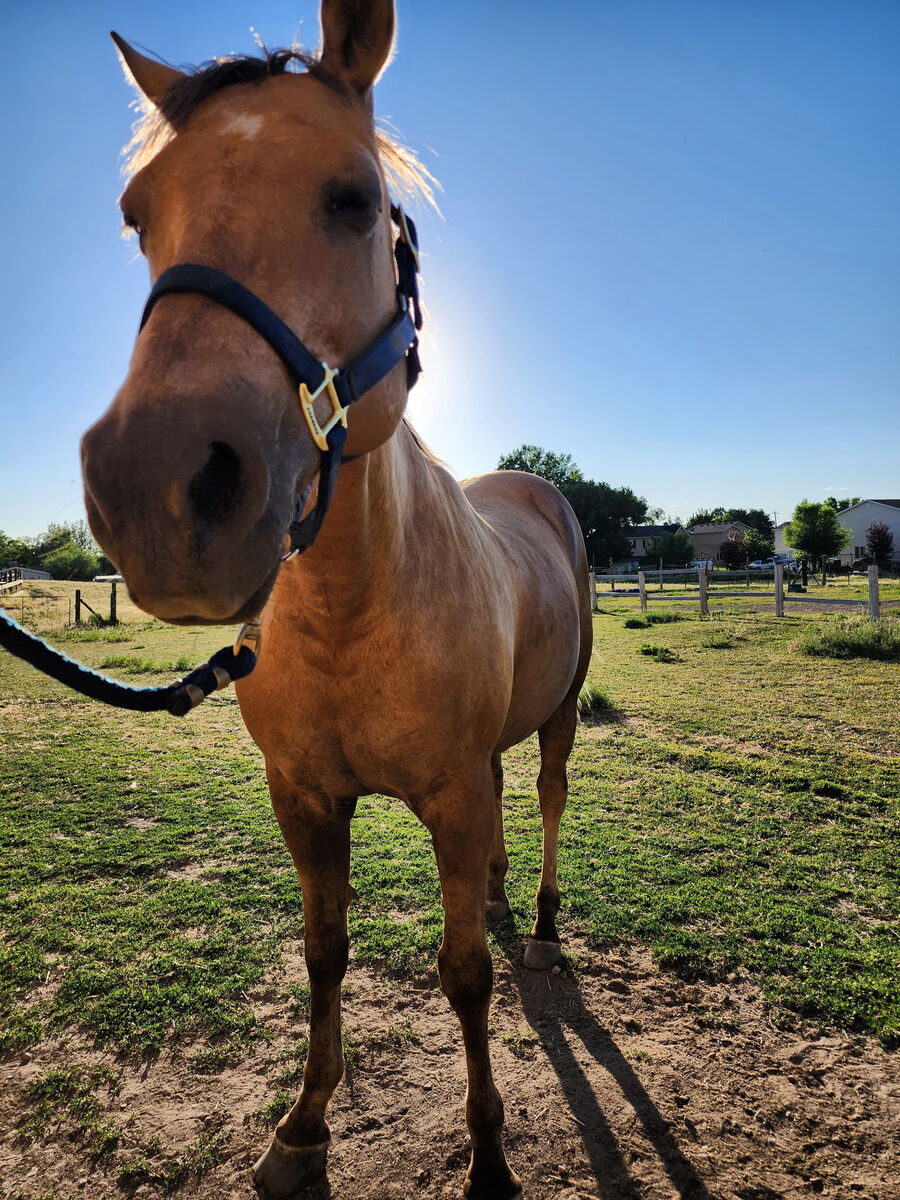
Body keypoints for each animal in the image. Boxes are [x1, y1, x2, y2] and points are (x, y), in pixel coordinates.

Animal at [80, 3, 592, 1196]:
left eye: (354, 198)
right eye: (136, 216)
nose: (156, 486)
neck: (355, 610)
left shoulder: (450, 795)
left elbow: (463, 976)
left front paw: (488, 1153)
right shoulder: (306, 800)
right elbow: (325, 952)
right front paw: (302, 1128)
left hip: (556, 719)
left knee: (545, 802)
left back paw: (542, 916)